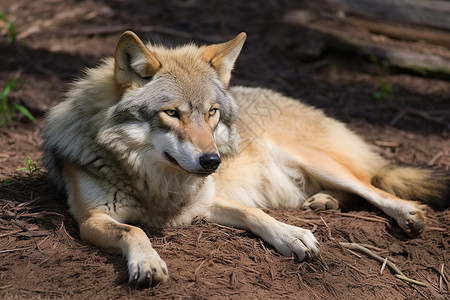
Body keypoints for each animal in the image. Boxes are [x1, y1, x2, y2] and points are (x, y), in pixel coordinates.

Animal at [40, 30, 448, 286]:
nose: (212, 162)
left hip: (318, 161)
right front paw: (147, 262)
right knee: (353, 192)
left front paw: (292, 235)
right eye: (171, 113)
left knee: (374, 187)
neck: (157, 182)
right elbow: (135, 230)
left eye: (211, 112)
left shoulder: (207, 200)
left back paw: (407, 213)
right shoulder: (91, 220)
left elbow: (256, 214)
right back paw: (324, 203)